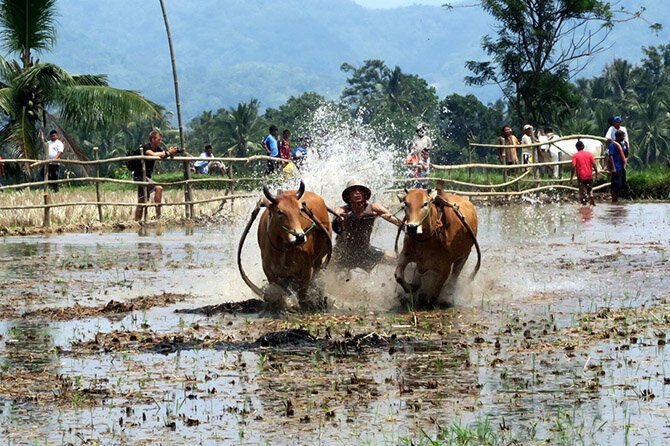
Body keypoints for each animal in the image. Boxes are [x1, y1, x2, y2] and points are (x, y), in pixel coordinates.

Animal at [239, 180, 334, 310]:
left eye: (300, 210)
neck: (285, 248)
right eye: (280, 212)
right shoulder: (267, 268)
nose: (299, 236)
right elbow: (278, 291)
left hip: (318, 260)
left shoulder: (307, 267)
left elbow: (303, 291)